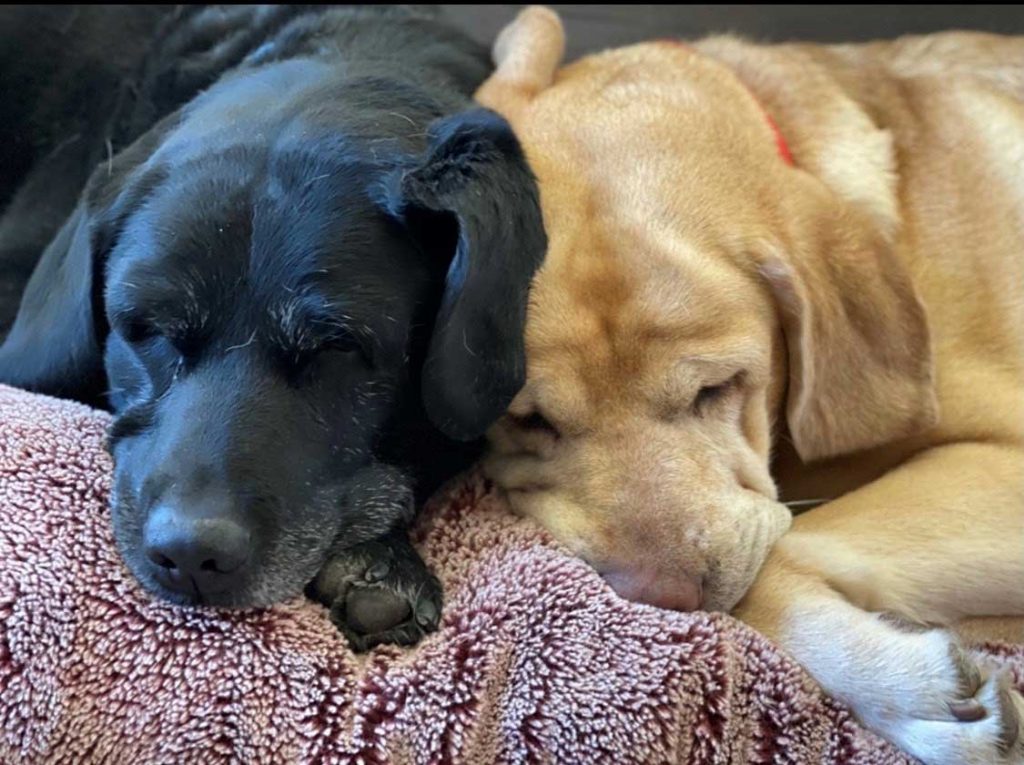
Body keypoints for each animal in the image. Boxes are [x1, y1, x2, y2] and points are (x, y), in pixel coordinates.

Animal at [479, 7, 1024, 765]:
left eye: (718, 387)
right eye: (529, 419)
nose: (665, 598)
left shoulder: (1006, 461)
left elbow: (773, 557)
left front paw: (901, 682)